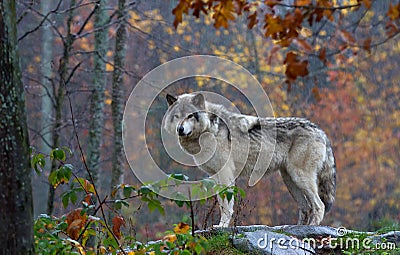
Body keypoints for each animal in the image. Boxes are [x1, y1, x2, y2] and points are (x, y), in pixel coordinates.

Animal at [162, 92, 334, 228]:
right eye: (176, 116)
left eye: (190, 116)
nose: (180, 129)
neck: (210, 129)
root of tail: (320, 131)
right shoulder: (216, 176)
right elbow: (221, 203)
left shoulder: (226, 174)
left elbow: (227, 205)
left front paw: (222, 226)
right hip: (290, 180)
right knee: (306, 208)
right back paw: (297, 228)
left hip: (299, 177)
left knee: (319, 205)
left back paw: (311, 228)